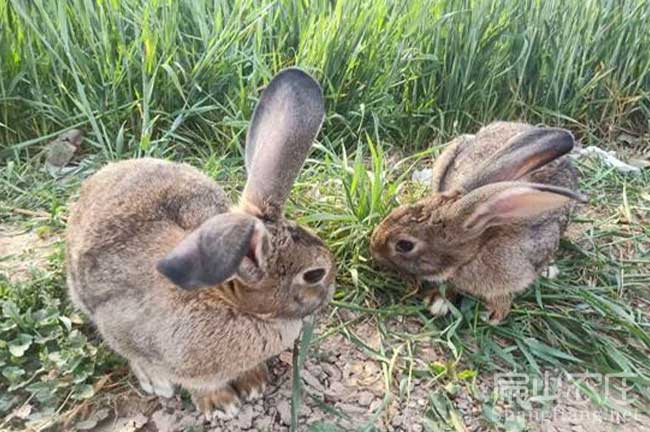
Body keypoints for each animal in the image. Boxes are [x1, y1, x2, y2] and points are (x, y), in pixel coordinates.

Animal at [66, 69, 336, 420]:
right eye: (314, 274)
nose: (332, 290)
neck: (227, 300)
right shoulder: (122, 327)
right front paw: (220, 404)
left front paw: (254, 383)